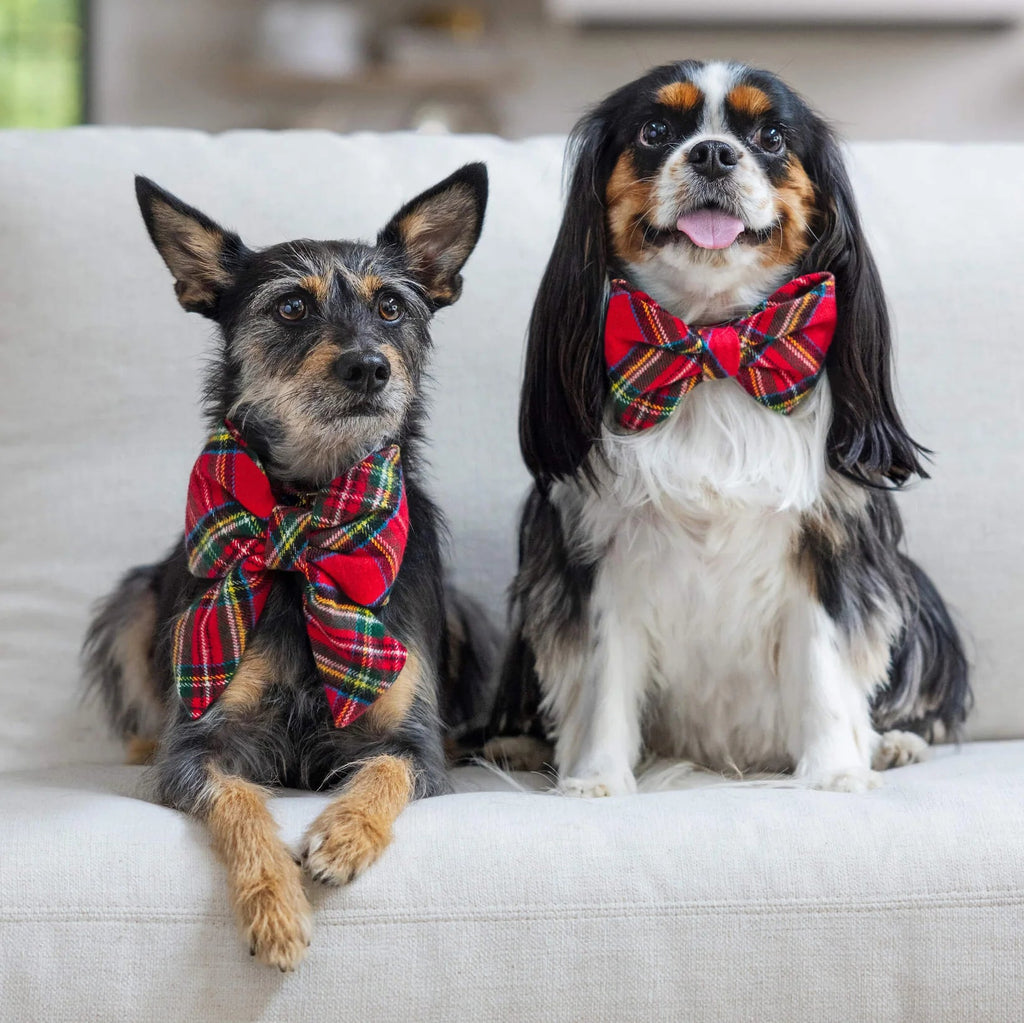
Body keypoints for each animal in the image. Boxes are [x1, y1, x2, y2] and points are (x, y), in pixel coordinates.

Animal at [83, 163, 491, 970]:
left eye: (392, 306)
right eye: (293, 305)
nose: (368, 367)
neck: (311, 507)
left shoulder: (415, 746)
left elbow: (386, 770)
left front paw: (343, 836)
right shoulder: (202, 745)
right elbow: (240, 801)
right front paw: (275, 909)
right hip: (132, 602)